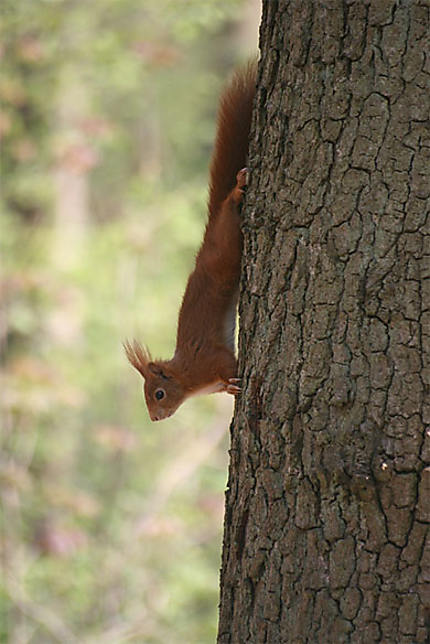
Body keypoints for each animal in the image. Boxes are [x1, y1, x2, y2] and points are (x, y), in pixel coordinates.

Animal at [126, 61, 256, 422]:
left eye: (158, 393)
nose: (155, 418)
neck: (187, 376)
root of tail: (208, 232)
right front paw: (231, 390)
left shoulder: (211, 359)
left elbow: (228, 363)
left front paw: (237, 381)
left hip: (226, 243)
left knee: (229, 203)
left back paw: (238, 187)